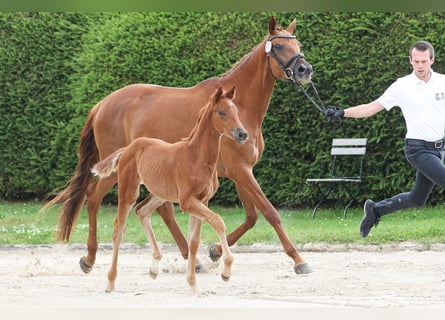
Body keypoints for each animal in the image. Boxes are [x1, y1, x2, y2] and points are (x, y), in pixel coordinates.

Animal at [46, 15, 312, 276]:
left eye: (298, 45)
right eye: (278, 46)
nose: (305, 69)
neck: (241, 108)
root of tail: (102, 104)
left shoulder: (241, 172)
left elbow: (251, 217)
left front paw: (215, 251)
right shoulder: (240, 170)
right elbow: (270, 213)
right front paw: (299, 260)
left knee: (162, 210)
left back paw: (192, 259)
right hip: (116, 170)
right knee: (93, 198)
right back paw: (90, 258)